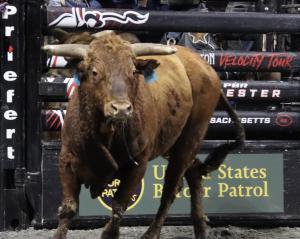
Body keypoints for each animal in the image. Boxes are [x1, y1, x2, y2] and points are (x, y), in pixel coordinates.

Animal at [43, 32, 245, 239]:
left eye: (133, 71)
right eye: (94, 72)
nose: (121, 108)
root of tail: (206, 69)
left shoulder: (138, 163)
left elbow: (118, 207)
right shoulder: (67, 159)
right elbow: (69, 208)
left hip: (191, 139)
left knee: (170, 190)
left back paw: (152, 233)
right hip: (171, 143)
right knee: (194, 171)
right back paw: (200, 227)